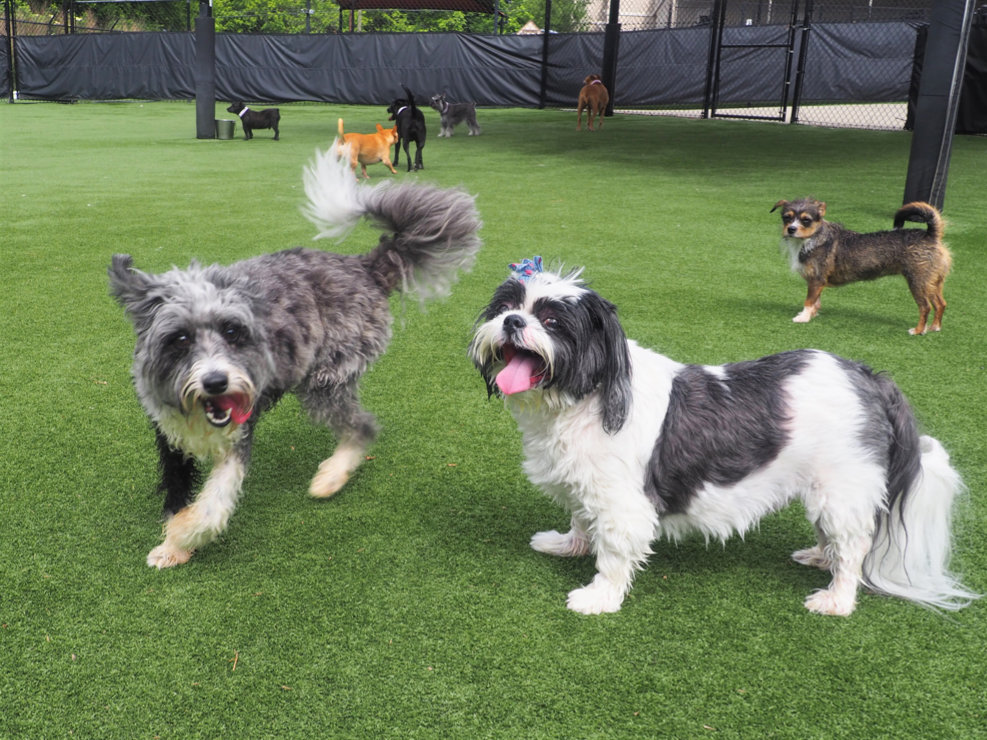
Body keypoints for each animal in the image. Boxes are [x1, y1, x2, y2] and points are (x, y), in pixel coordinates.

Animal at [108, 146, 482, 572]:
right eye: (180, 339)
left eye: (232, 331)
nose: (216, 382)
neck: (199, 413)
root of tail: (364, 265)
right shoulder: (168, 437)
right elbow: (178, 494)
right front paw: (175, 543)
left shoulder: (239, 434)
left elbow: (211, 506)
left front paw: (179, 539)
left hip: (326, 378)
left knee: (363, 426)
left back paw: (330, 478)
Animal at [470, 258, 980, 616]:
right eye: (505, 307)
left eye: (553, 322)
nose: (514, 322)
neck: (581, 398)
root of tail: (870, 377)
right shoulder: (583, 482)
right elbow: (580, 518)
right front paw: (567, 544)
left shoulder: (622, 502)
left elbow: (613, 551)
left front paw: (599, 598)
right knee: (837, 536)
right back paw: (820, 557)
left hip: (842, 487)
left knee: (854, 546)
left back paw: (837, 598)